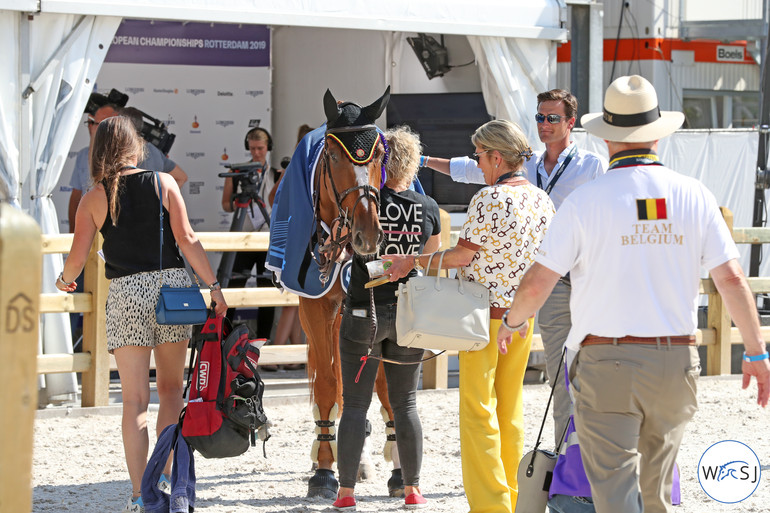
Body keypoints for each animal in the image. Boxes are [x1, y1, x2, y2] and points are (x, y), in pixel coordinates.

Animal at [268, 87, 396, 496]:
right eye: (334, 155)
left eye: (379, 155)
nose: (368, 232)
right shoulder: (315, 308)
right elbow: (327, 383)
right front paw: (324, 470)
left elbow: (378, 382)